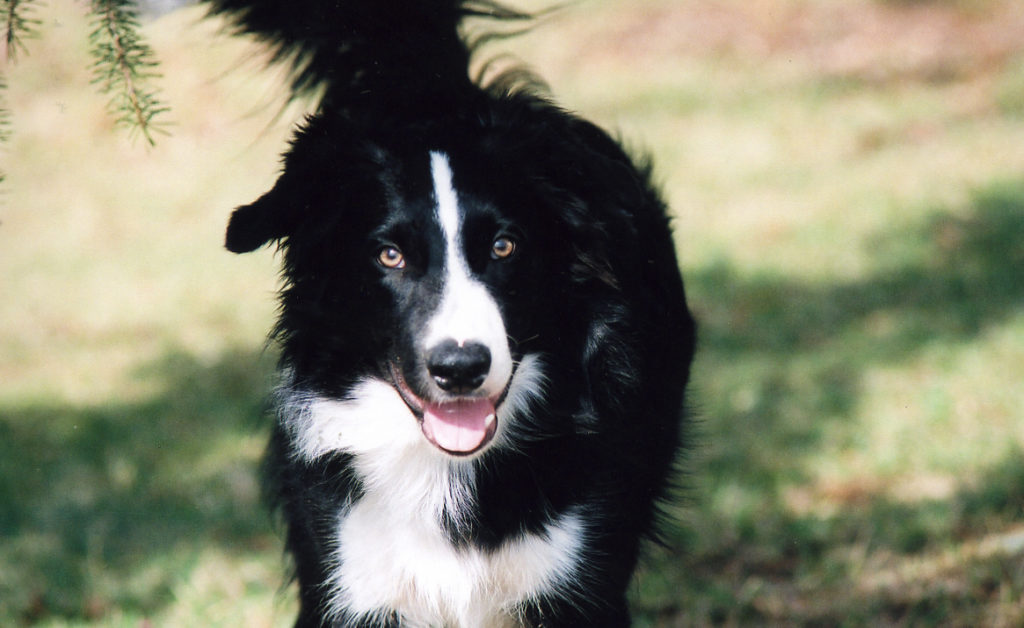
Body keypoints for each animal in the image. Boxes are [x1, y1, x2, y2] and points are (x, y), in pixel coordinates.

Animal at [211, 0, 700, 622]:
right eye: (389, 255)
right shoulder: (348, 572)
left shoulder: (578, 576)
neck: (447, 469)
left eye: (504, 247)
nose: (461, 369)